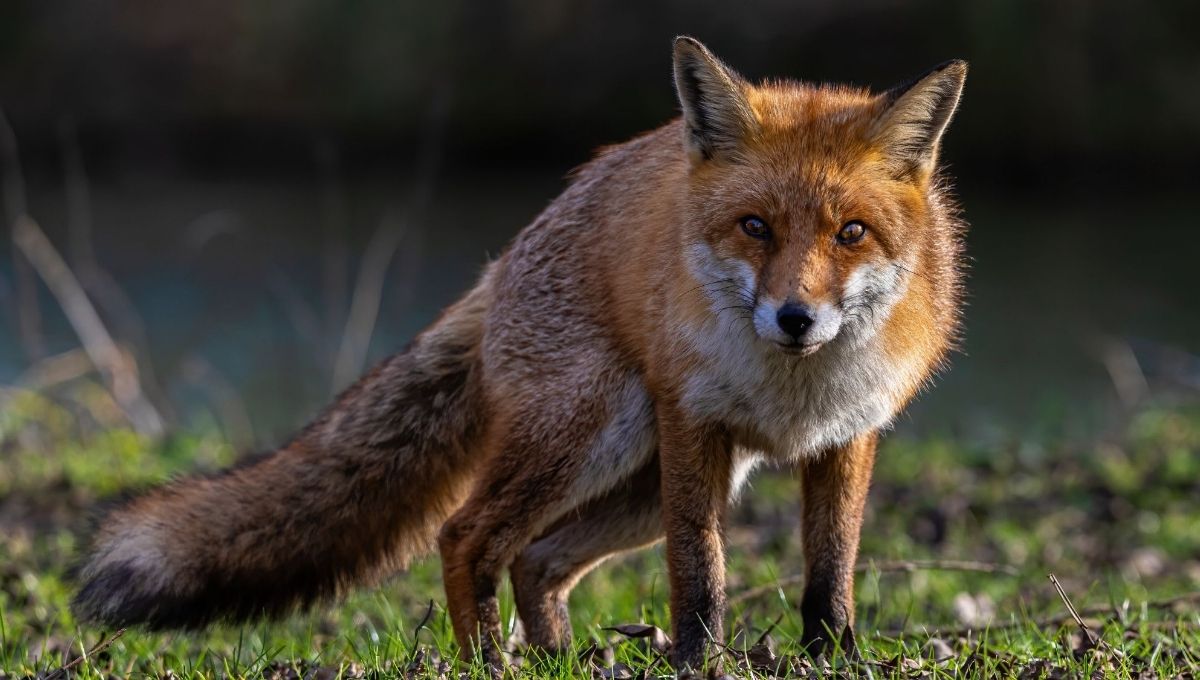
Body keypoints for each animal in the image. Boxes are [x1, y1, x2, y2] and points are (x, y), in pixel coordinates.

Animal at [74, 37, 967, 673]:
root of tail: (503, 259)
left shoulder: (848, 436)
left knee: (537, 558)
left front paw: (832, 658)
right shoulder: (694, 424)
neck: (793, 391)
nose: (795, 318)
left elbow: (830, 572)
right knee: (468, 536)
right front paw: (696, 662)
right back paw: (489, 663)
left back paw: (559, 659)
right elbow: (699, 571)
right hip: (597, 437)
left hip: (640, 482)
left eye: (850, 233)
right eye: (755, 226)